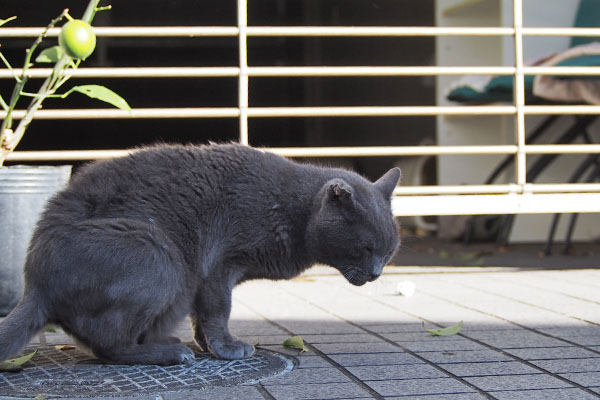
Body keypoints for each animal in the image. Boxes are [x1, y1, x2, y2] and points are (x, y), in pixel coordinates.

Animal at [1, 145, 404, 366]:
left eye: (388, 253)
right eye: (366, 249)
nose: (376, 273)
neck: (293, 211)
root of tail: (34, 284)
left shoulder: (206, 278)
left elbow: (201, 316)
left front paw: (208, 345)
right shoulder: (218, 266)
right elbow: (217, 310)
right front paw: (227, 348)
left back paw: (168, 343)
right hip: (159, 256)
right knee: (107, 343)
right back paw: (167, 354)